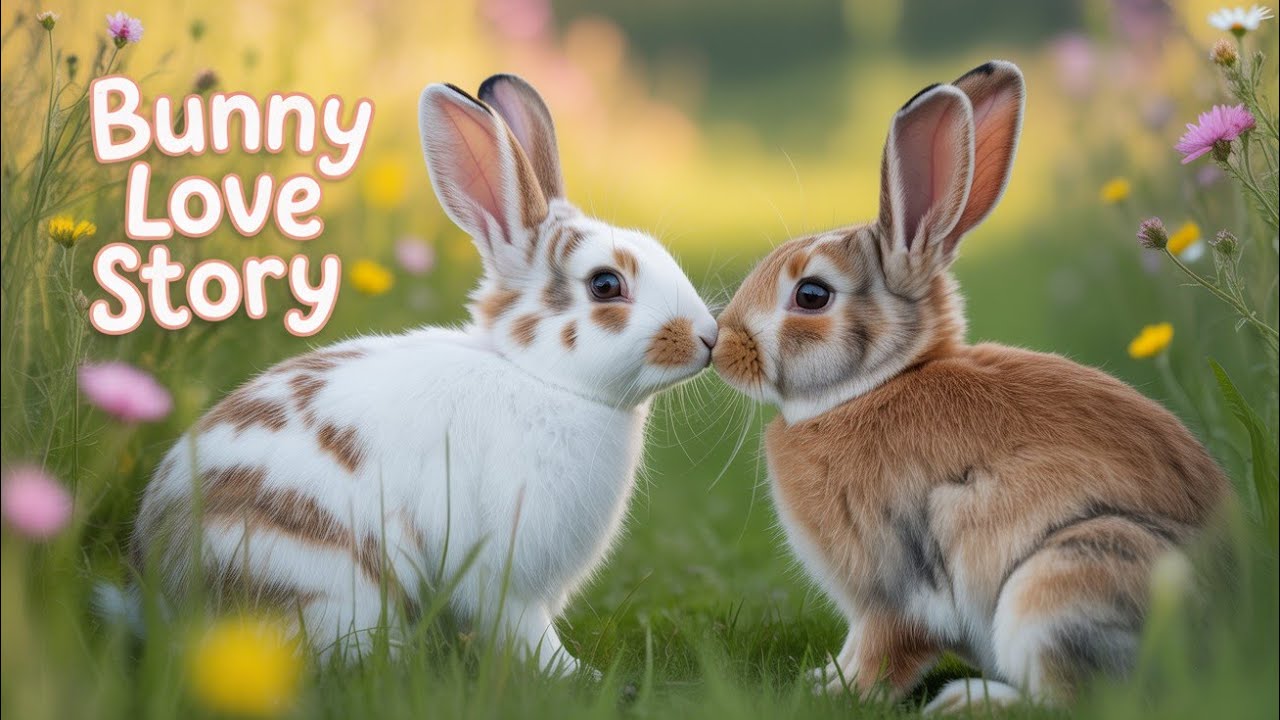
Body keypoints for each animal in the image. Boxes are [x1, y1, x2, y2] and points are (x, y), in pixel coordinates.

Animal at [129, 74, 718, 673]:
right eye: (605, 284)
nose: (708, 337)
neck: (544, 380)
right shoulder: (505, 571)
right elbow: (526, 631)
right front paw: (580, 675)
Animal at [711, 60, 1230, 712]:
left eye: (811, 295)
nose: (721, 346)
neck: (874, 385)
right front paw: (819, 680)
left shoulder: (894, 590)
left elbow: (883, 650)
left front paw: (836, 692)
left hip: (1063, 580)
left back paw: (967, 701)